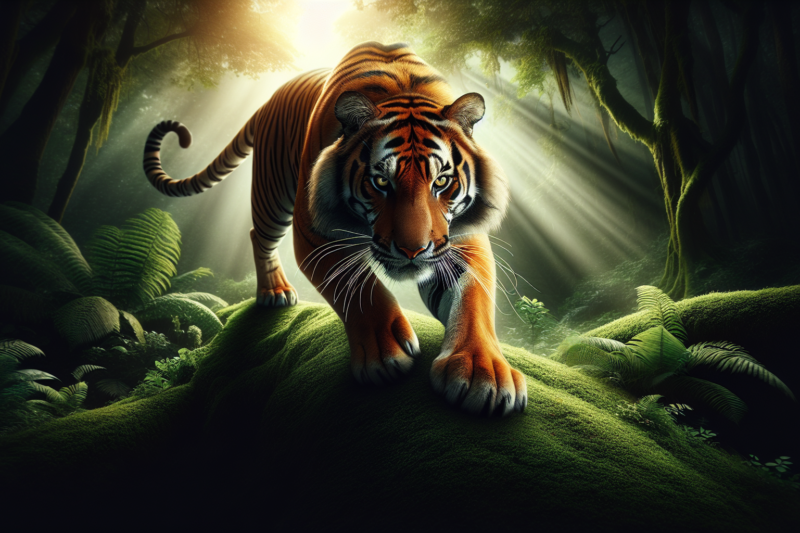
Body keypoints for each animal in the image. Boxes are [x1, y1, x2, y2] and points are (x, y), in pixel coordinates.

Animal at [142, 42, 527, 416]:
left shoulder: (460, 241)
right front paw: (383, 355)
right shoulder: (313, 233)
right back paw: (275, 292)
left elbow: (473, 302)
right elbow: (361, 291)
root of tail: (270, 97)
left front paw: (483, 374)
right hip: (272, 194)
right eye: (380, 181)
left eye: (442, 181)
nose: (412, 251)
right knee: (258, 235)